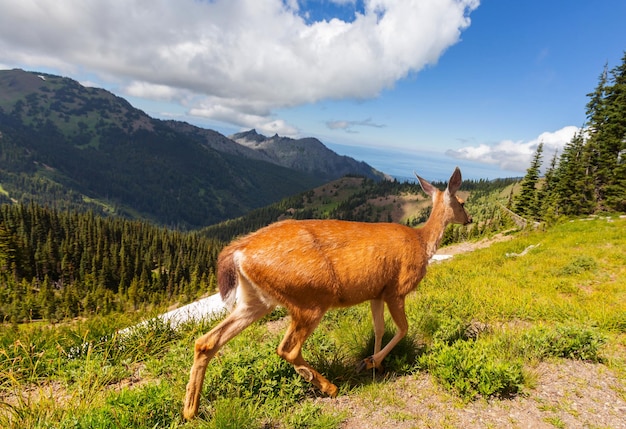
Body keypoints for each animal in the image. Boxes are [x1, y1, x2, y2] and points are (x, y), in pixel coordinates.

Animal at [180, 166, 468, 418]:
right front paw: (371, 362)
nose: (470, 219)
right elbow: (403, 328)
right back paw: (330, 387)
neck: (422, 243)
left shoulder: (376, 292)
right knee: (287, 348)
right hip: (309, 298)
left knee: (206, 341)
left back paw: (190, 411)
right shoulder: (396, 290)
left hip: (256, 300)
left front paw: (375, 363)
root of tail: (239, 250)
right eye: (463, 202)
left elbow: (379, 328)